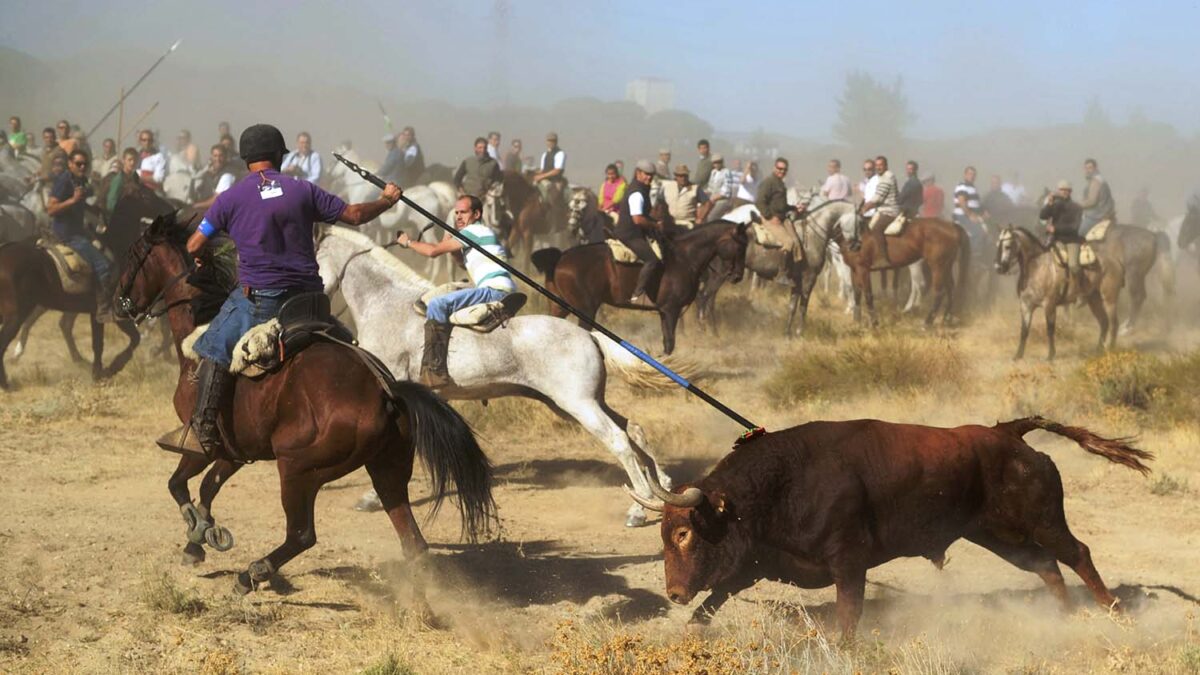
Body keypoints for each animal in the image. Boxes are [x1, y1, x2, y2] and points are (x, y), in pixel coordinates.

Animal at [115, 213, 496, 598]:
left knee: (302, 534)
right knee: (412, 542)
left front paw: (197, 531)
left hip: (299, 470)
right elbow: (208, 487)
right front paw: (198, 539)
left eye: (133, 254)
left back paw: (252, 574)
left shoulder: (200, 443)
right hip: (387, 470)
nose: (118, 303)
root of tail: (387, 392)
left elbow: (178, 484)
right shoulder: (234, 451)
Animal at [314, 225, 676, 526]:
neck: (386, 303)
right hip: (579, 403)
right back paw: (660, 487)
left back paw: (640, 508)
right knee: (633, 429)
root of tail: (589, 335)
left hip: (579, 405)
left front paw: (372, 497)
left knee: (619, 440)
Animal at [530, 210, 744, 355]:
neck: (684, 258)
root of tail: (560, 258)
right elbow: (670, 344)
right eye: (741, 244)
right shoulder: (671, 309)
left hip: (560, 306)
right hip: (585, 309)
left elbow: (667, 343)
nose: (738, 276)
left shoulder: (664, 312)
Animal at [638, 415, 1152, 634]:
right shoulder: (760, 564)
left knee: (1077, 554)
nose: (674, 594)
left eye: (684, 533)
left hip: (1043, 521)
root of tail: (1007, 433)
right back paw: (1060, 618)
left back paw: (1114, 612)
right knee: (1045, 566)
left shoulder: (849, 563)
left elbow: (849, 616)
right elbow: (716, 599)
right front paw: (691, 627)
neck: (781, 482)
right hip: (997, 536)